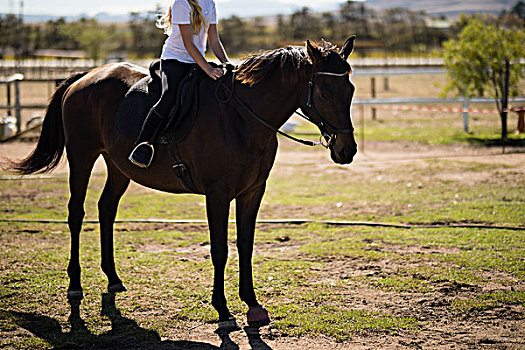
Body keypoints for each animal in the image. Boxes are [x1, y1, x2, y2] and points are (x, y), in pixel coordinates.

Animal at [11, 37, 356, 328]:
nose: (347, 150)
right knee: (76, 214)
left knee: (106, 209)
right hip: (82, 157)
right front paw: (223, 310)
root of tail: (84, 77)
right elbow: (220, 249)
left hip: (119, 167)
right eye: (324, 92)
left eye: (351, 91)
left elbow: (245, 245)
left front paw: (253, 304)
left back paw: (113, 278)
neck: (241, 118)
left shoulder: (252, 192)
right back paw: (75, 286)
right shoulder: (217, 194)